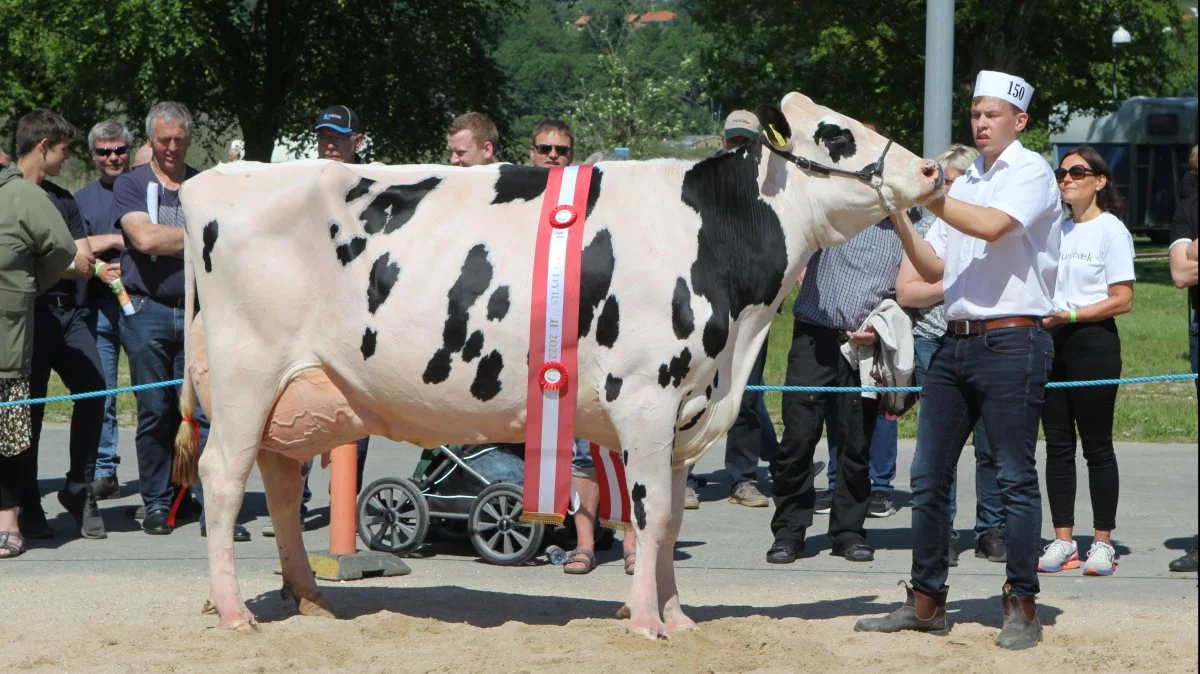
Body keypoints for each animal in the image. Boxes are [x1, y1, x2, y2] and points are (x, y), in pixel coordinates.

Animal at [180, 92, 945, 633]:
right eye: (838, 133)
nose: (933, 168)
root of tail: (216, 180)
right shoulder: (645, 397)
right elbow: (650, 517)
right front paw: (645, 622)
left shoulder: (688, 410)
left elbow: (669, 521)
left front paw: (677, 617)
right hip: (247, 373)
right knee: (224, 479)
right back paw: (236, 610)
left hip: (294, 392)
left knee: (280, 482)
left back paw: (308, 597)